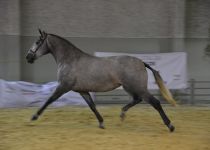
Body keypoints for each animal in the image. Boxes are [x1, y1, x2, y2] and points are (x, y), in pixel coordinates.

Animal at [25, 29, 176, 132]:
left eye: (37, 42)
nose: (28, 57)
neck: (70, 60)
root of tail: (142, 62)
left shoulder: (63, 86)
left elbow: (49, 100)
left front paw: (34, 117)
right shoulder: (82, 91)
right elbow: (92, 106)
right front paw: (102, 123)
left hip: (137, 87)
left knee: (155, 103)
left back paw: (170, 125)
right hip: (130, 87)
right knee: (137, 99)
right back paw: (122, 114)